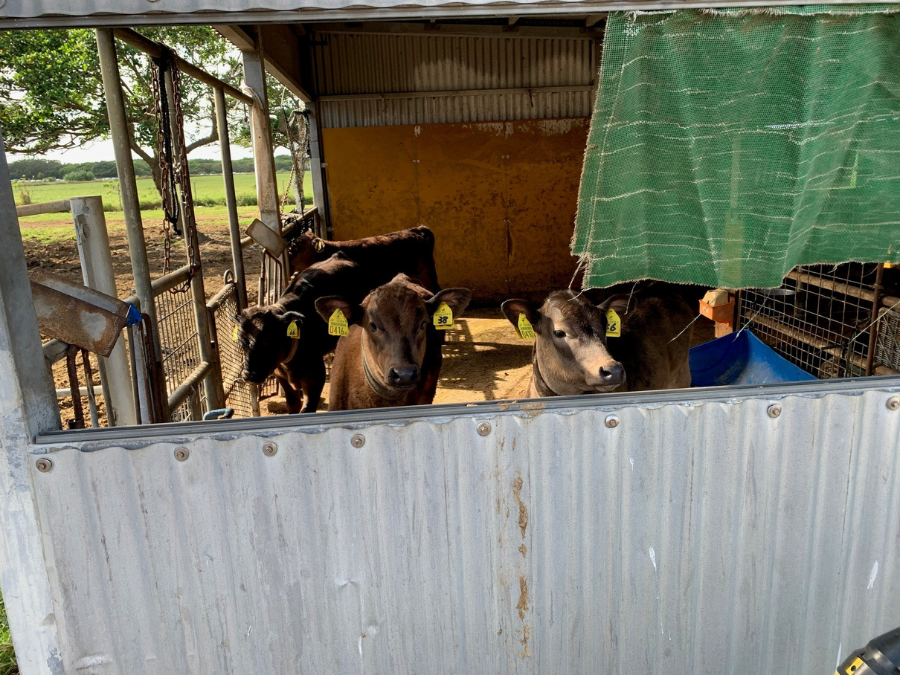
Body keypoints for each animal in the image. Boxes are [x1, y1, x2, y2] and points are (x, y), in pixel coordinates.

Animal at [237, 252, 368, 412]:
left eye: (268, 339)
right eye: (241, 342)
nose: (248, 375)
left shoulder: (315, 378)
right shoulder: (281, 377)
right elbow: (293, 404)